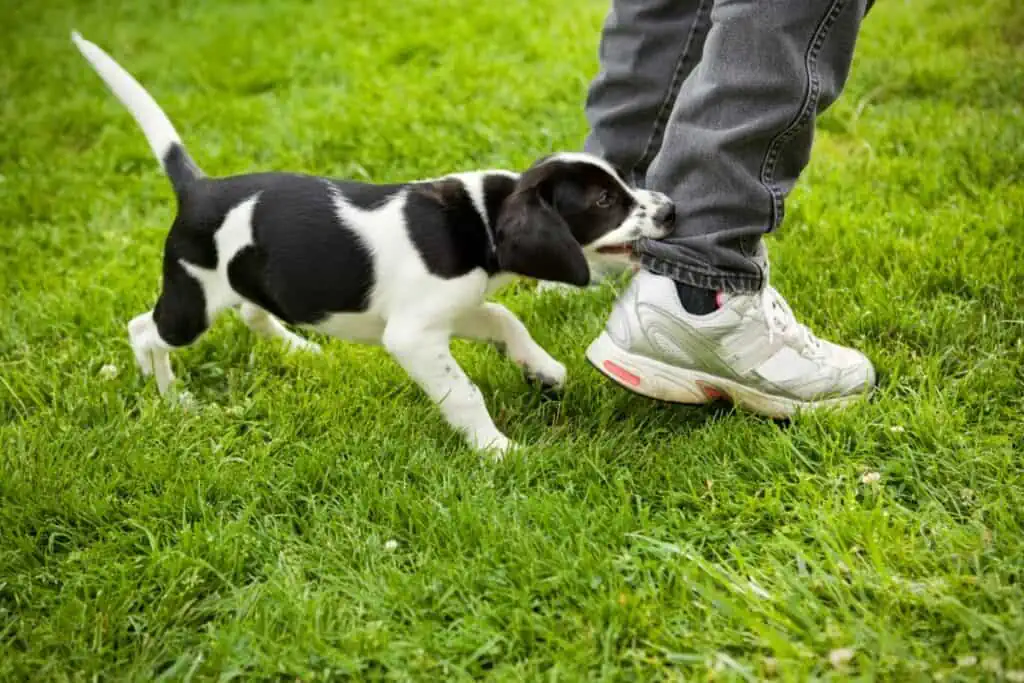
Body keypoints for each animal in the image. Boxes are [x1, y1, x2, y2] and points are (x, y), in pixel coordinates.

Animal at [74, 34, 679, 456]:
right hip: (191, 302)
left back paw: (297, 347)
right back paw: (172, 397)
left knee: (251, 311)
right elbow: (464, 392)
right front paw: (497, 449)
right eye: (604, 201)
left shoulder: (451, 309)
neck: (480, 219)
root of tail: (199, 188)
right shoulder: (413, 336)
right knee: (144, 329)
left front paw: (543, 370)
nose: (671, 209)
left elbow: (506, 318)